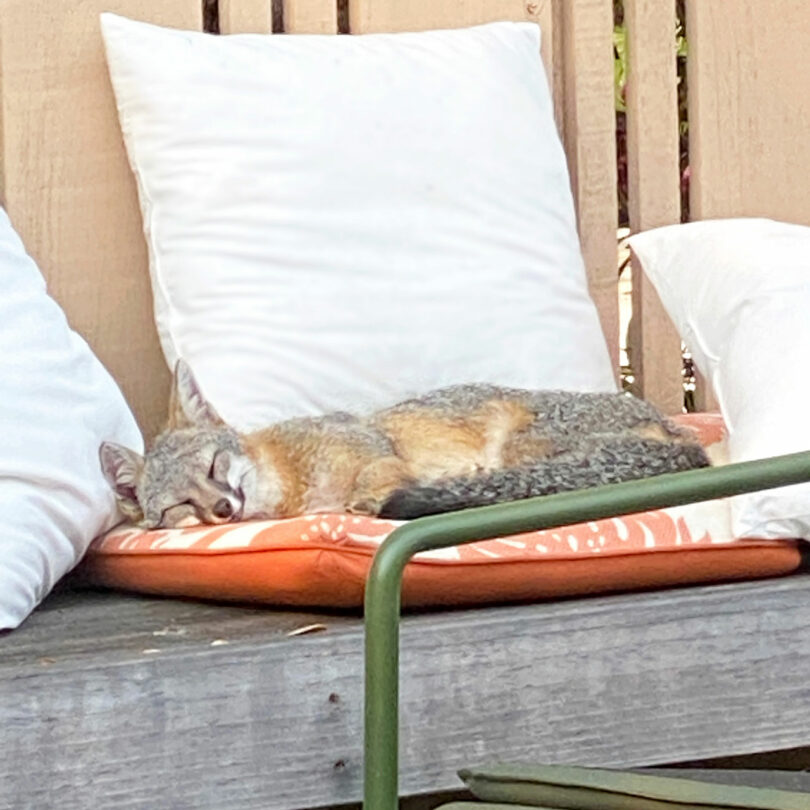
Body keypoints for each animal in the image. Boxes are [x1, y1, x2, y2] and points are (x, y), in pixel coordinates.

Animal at [99, 358, 708, 524]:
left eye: (213, 465)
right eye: (178, 505)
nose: (225, 508)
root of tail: (684, 437)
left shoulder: (371, 445)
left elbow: (380, 469)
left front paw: (371, 494)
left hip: (519, 446)